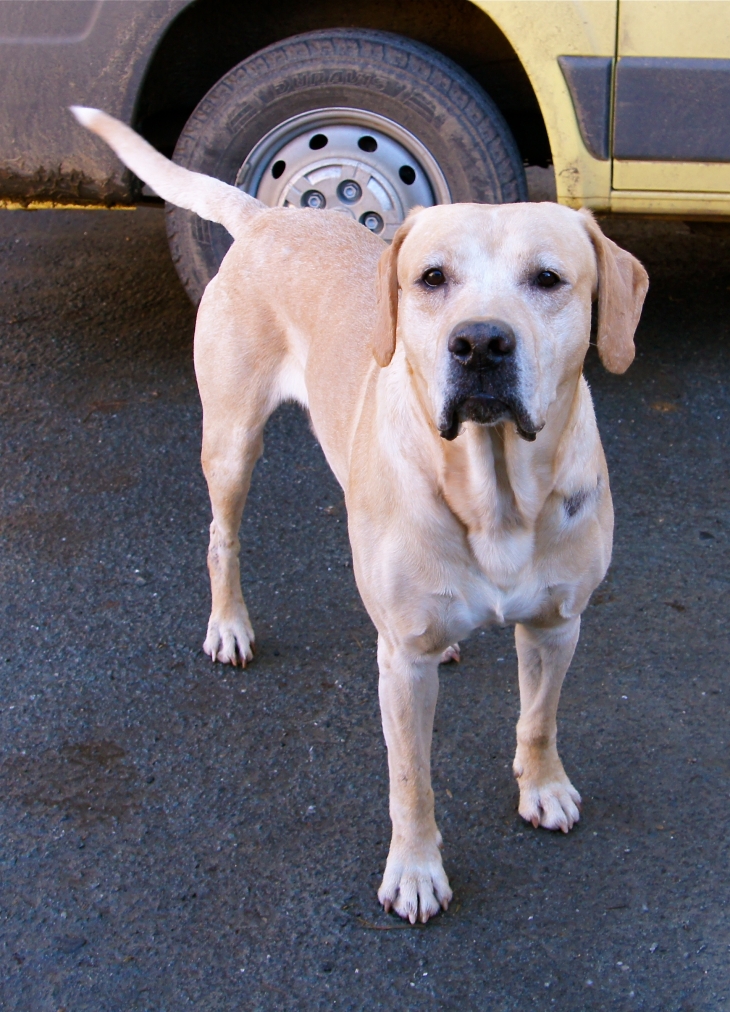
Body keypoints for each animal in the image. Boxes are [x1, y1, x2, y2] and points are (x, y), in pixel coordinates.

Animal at [71, 104, 647, 926]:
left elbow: (539, 717)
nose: (479, 343)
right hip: (231, 442)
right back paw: (229, 624)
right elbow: (411, 778)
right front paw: (415, 870)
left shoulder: (556, 625)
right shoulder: (399, 667)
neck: (495, 491)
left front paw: (542, 785)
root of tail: (267, 217)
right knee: (221, 537)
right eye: (432, 278)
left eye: (548, 279)